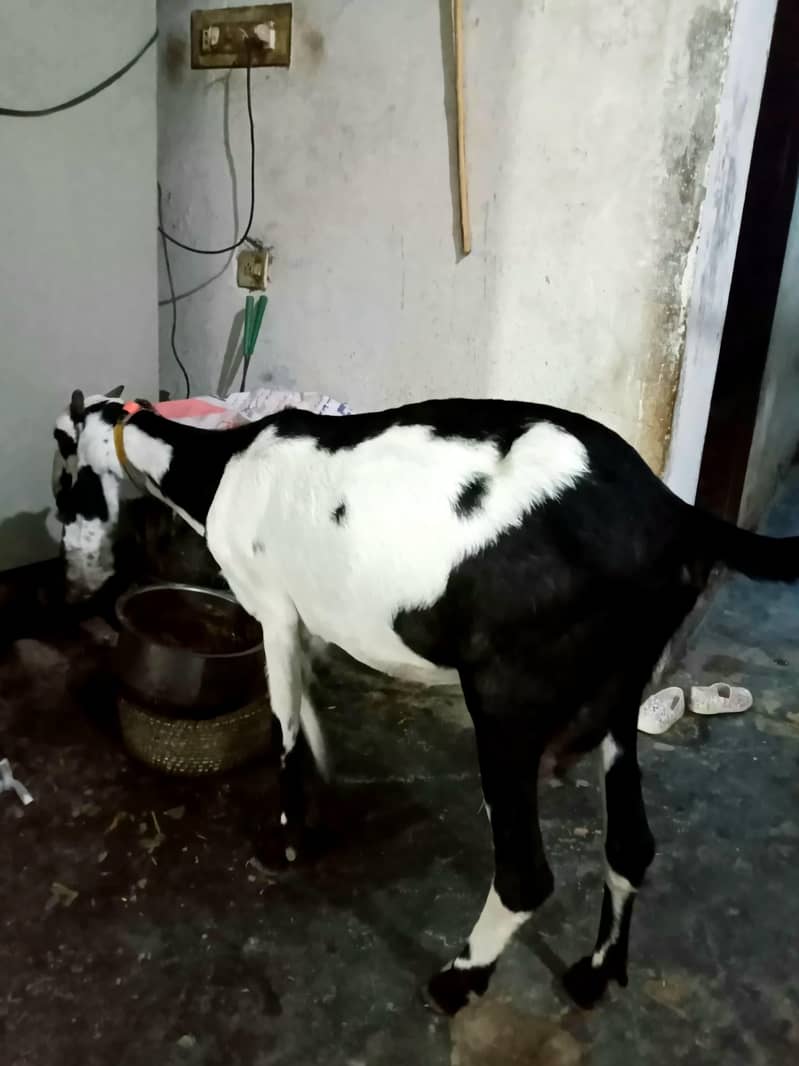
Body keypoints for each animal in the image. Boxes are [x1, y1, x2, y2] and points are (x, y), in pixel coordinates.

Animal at [60, 388, 799, 1014]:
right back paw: (594, 974)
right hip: (619, 700)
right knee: (630, 845)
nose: (75, 583)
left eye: (63, 481)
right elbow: (310, 710)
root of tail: (676, 517)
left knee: (525, 875)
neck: (221, 467)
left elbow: (285, 725)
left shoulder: (272, 608)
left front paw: (288, 841)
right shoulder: (309, 622)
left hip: (506, 704)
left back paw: (457, 981)